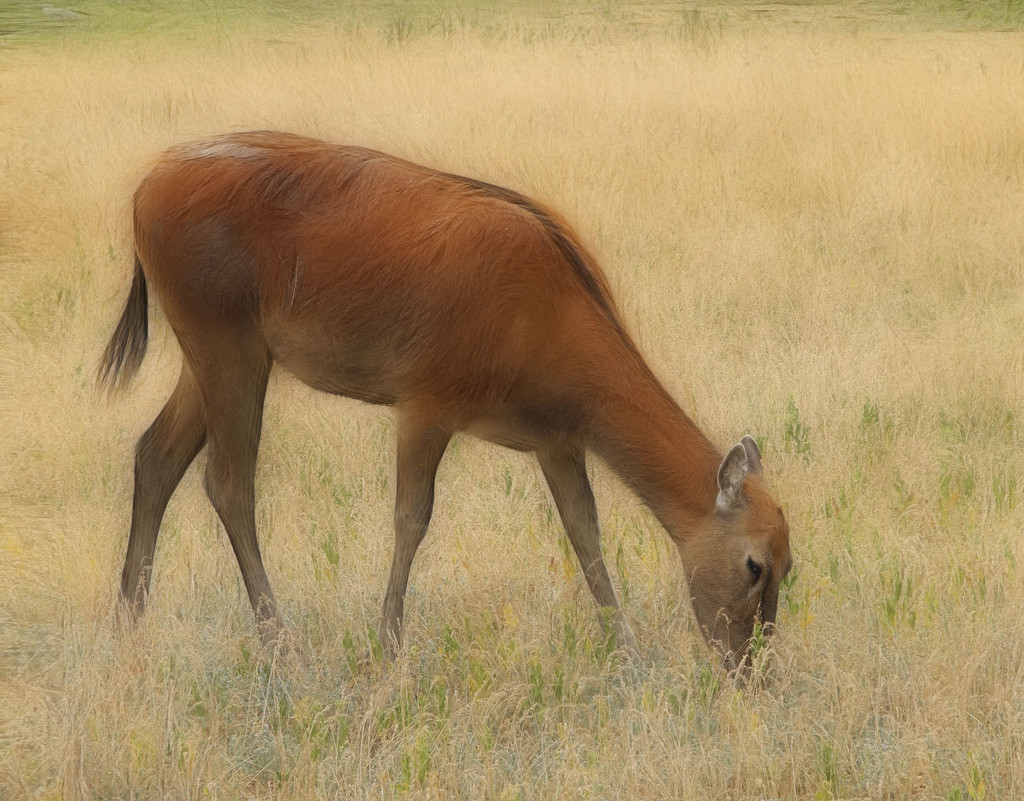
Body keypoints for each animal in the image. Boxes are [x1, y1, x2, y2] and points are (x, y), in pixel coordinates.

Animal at [99, 133, 790, 676]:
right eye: (755, 565)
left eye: (790, 564)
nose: (749, 668)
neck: (546, 330)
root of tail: (140, 194)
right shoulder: (426, 399)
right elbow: (412, 518)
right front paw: (388, 647)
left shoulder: (555, 440)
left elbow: (584, 531)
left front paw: (626, 649)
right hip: (225, 341)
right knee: (228, 481)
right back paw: (280, 646)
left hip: (215, 352)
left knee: (155, 455)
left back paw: (130, 621)